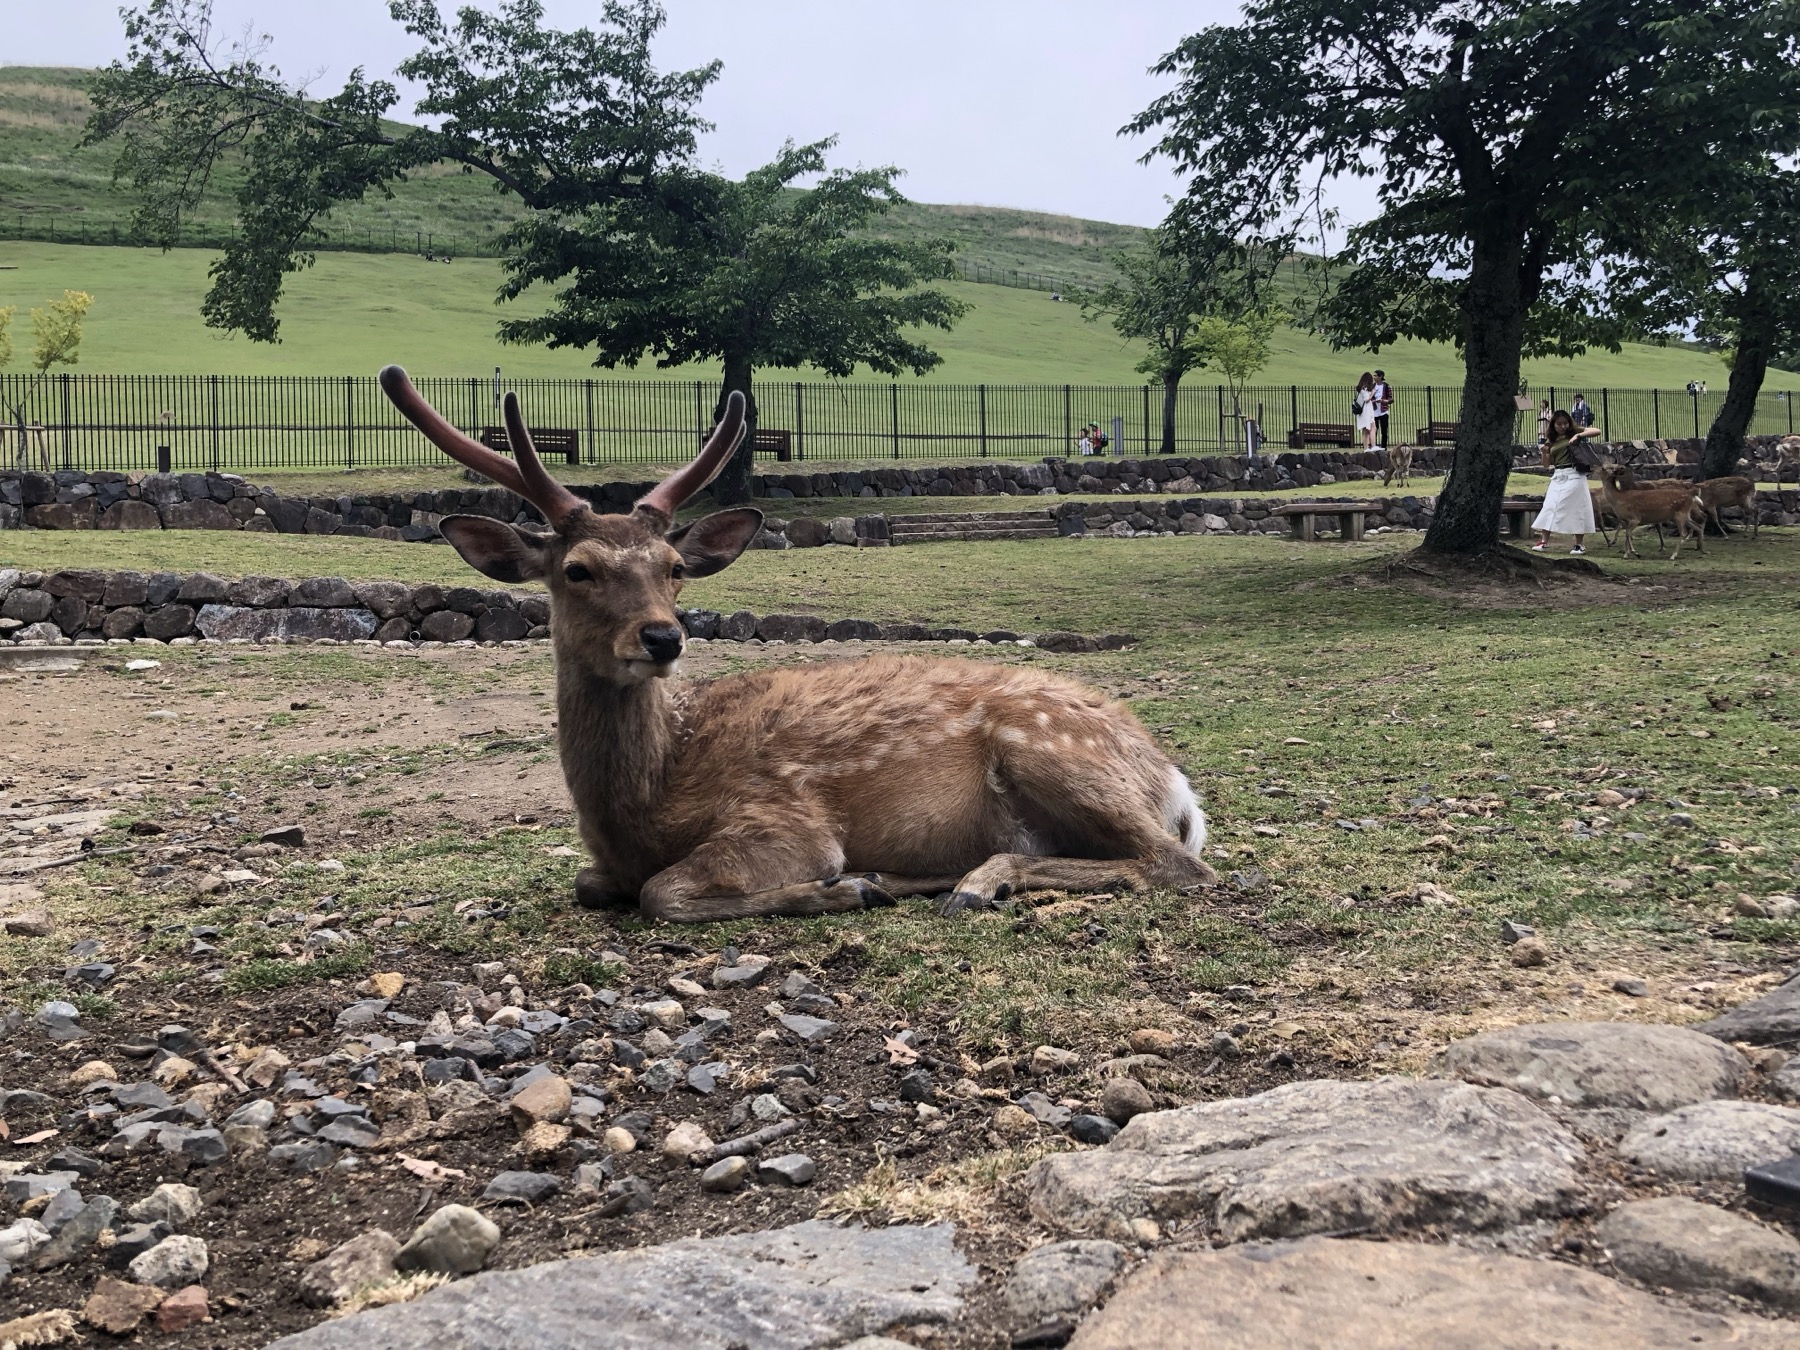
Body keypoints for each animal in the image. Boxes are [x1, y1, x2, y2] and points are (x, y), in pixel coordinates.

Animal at [377, 367, 1216, 922]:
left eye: (674, 567)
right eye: (577, 569)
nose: (663, 637)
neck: (637, 809)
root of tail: (1176, 782)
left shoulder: (783, 819)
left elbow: (661, 892)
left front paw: (839, 886)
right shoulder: (606, 864)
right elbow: (596, 884)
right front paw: (865, 883)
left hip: (1051, 749)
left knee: (1181, 865)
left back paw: (973, 881)